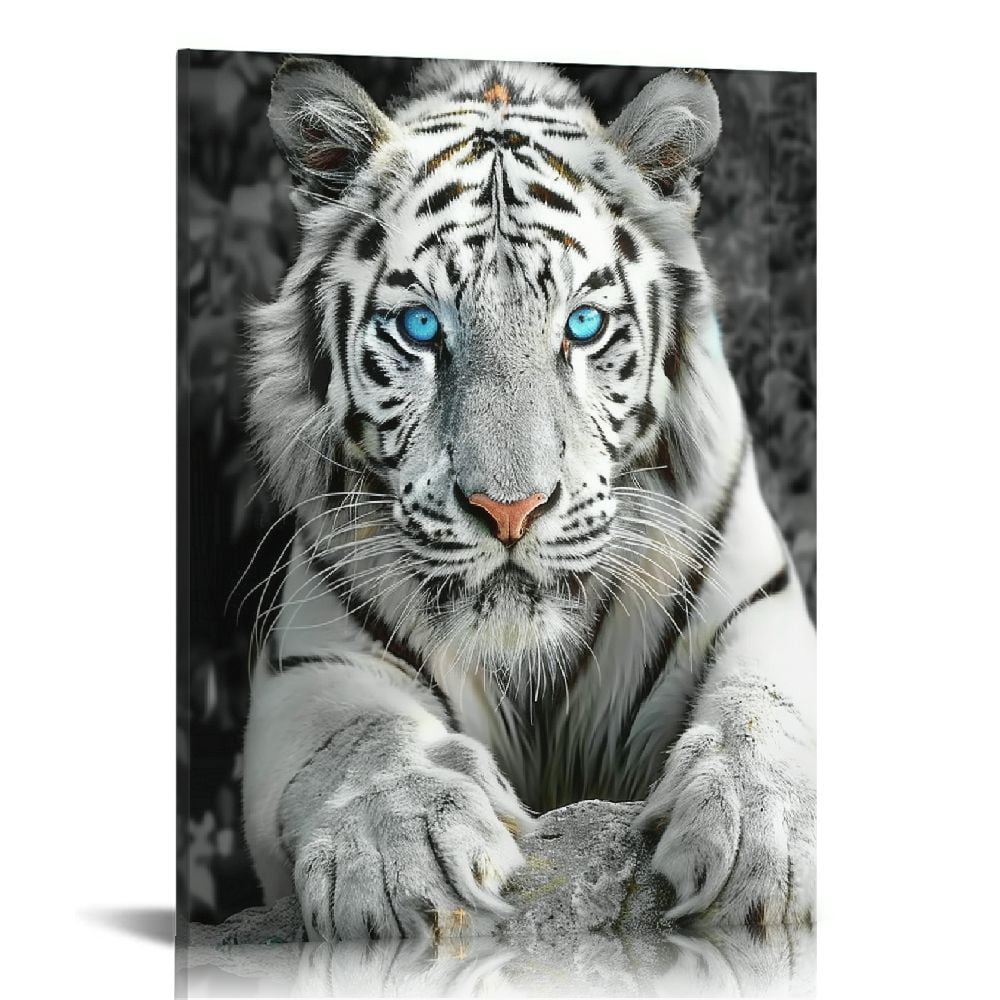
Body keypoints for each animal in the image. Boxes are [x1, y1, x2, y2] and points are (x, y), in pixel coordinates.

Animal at [241, 56, 816, 942]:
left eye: (582, 326)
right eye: (420, 327)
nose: (509, 512)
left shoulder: (761, 605)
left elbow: (767, 708)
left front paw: (763, 835)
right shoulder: (312, 661)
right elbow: (362, 734)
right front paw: (399, 851)